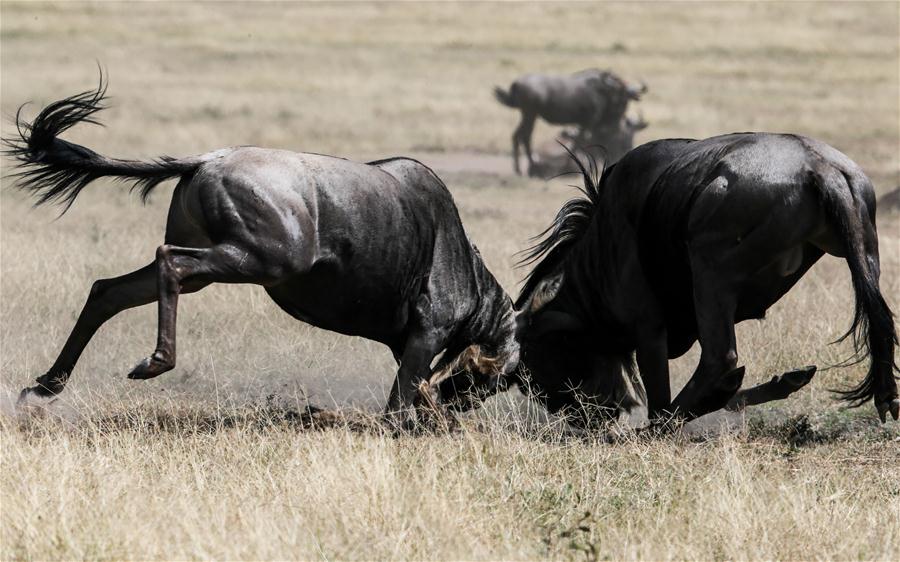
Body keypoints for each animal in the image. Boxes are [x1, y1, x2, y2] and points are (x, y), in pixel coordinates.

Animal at [5, 75, 520, 425]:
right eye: (495, 381)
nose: (464, 410)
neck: (473, 282)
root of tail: (207, 161)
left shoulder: (404, 343)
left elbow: (419, 391)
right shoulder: (425, 335)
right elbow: (399, 405)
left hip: (216, 265)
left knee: (108, 290)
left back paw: (45, 387)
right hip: (261, 261)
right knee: (168, 261)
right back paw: (154, 363)